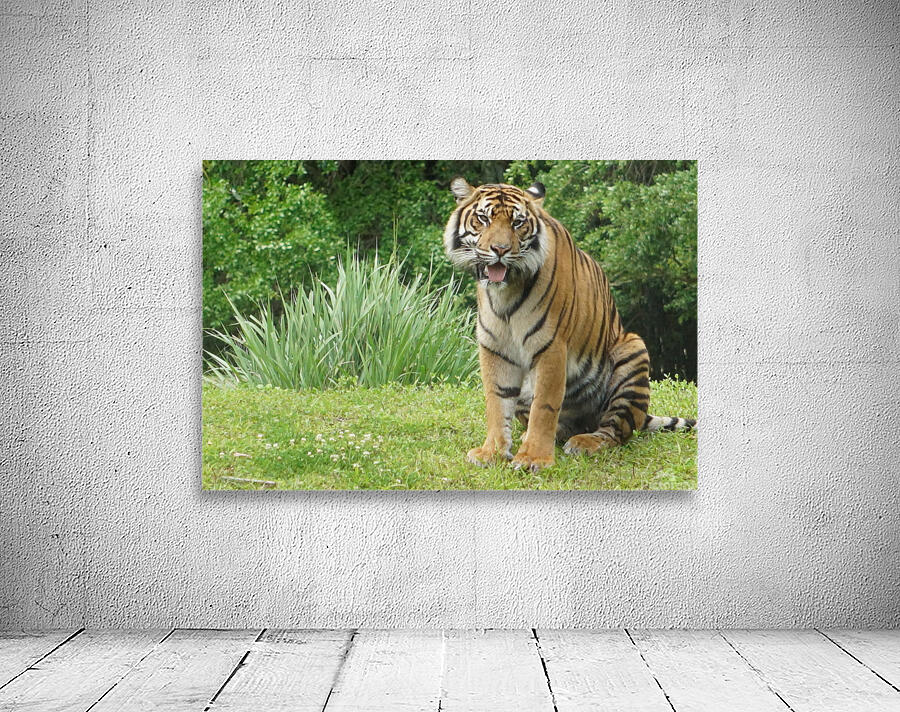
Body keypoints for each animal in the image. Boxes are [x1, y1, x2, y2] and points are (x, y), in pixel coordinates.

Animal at [443, 177, 695, 472]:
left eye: (517, 223)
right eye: (483, 219)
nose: (500, 250)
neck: (505, 292)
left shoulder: (551, 346)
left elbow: (544, 406)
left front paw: (533, 458)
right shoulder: (495, 348)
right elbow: (496, 402)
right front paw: (491, 452)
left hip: (632, 351)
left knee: (616, 430)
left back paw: (584, 442)